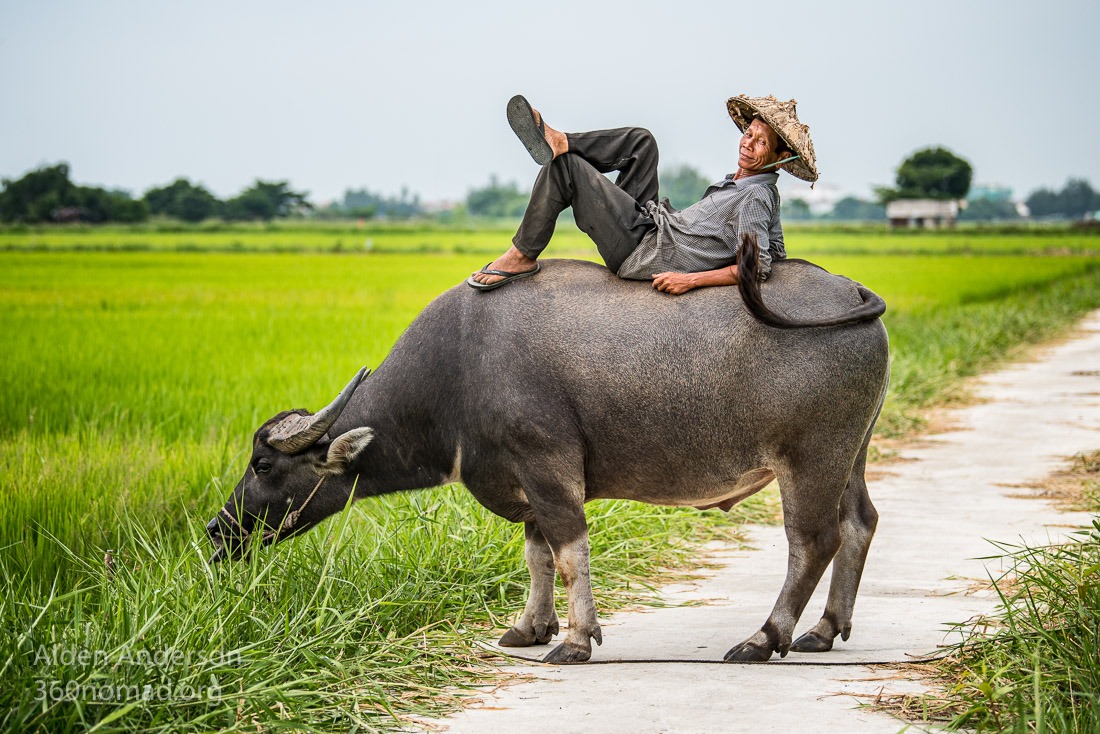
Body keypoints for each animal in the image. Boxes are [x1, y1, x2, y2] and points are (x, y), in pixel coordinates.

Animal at [207, 240, 893, 664]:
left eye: (264, 465)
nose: (217, 531)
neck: (456, 372)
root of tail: (852, 292)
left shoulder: (548, 467)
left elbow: (568, 551)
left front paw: (577, 639)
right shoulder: (523, 480)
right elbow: (536, 554)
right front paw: (530, 628)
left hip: (810, 458)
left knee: (813, 540)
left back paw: (765, 637)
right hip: (851, 454)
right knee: (860, 522)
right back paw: (823, 630)